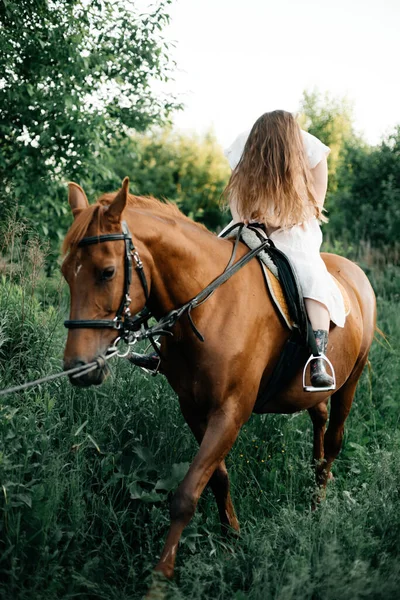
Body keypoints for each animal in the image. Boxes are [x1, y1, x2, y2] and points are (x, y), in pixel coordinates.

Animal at [61, 179, 376, 580]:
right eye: (66, 271)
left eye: (107, 272)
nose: (78, 367)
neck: (211, 306)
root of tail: (355, 273)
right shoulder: (194, 409)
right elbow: (216, 477)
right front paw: (231, 539)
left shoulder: (230, 412)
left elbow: (186, 493)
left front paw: (162, 574)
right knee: (318, 416)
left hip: (352, 379)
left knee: (334, 438)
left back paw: (317, 504)